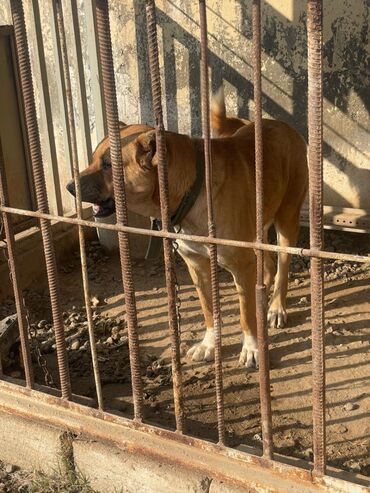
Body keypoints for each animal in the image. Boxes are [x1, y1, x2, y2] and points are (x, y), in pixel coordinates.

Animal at [66, 86, 306, 368]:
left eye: (107, 164)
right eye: (93, 159)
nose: (69, 187)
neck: (193, 189)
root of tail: (279, 124)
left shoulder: (240, 266)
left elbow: (246, 316)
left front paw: (252, 348)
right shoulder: (197, 267)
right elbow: (209, 311)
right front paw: (209, 345)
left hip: (287, 222)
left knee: (282, 267)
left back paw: (277, 306)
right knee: (266, 263)